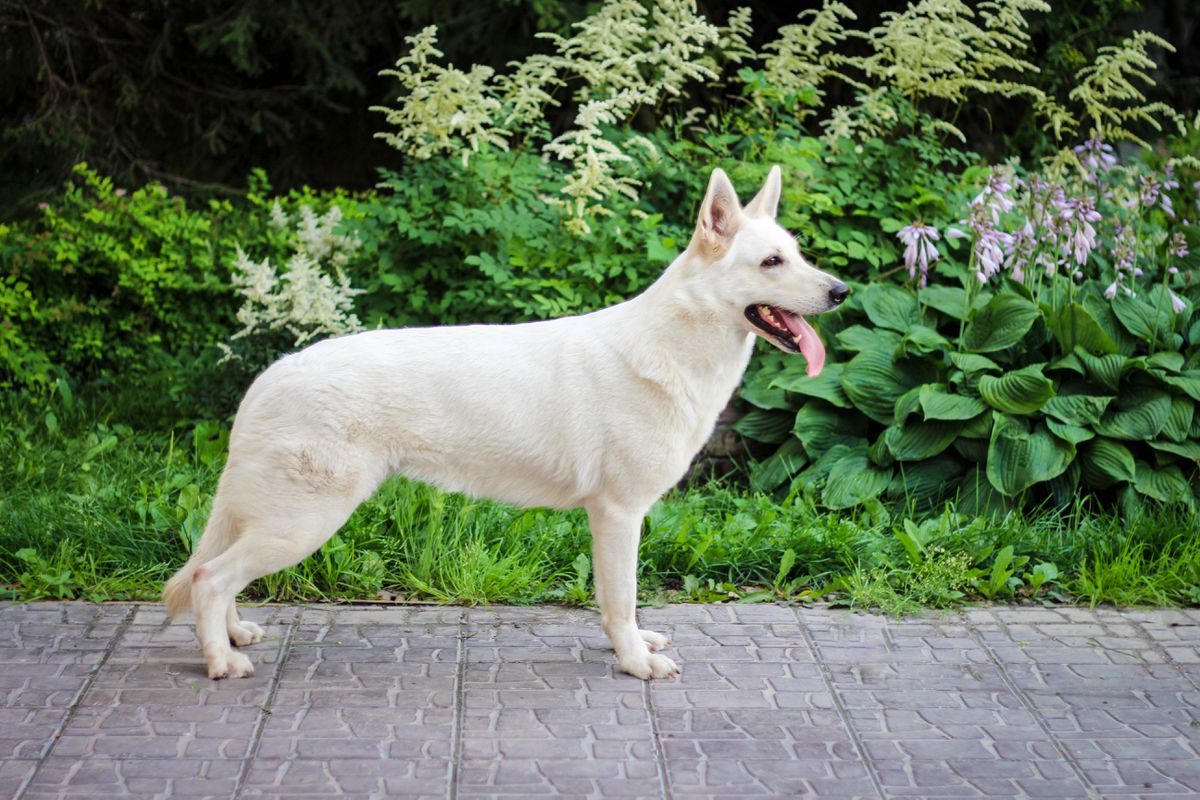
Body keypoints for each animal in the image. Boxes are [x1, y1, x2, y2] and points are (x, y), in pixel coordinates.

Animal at [164, 167, 849, 681]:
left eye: (798, 255)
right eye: (771, 262)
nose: (841, 291)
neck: (673, 346)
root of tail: (269, 377)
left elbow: (620, 603)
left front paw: (635, 648)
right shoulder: (619, 515)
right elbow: (621, 600)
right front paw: (633, 663)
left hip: (278, 520)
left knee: (215, 576)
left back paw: (233, 637)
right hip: (303, 524)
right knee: (208, 578)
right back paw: (220, 662)